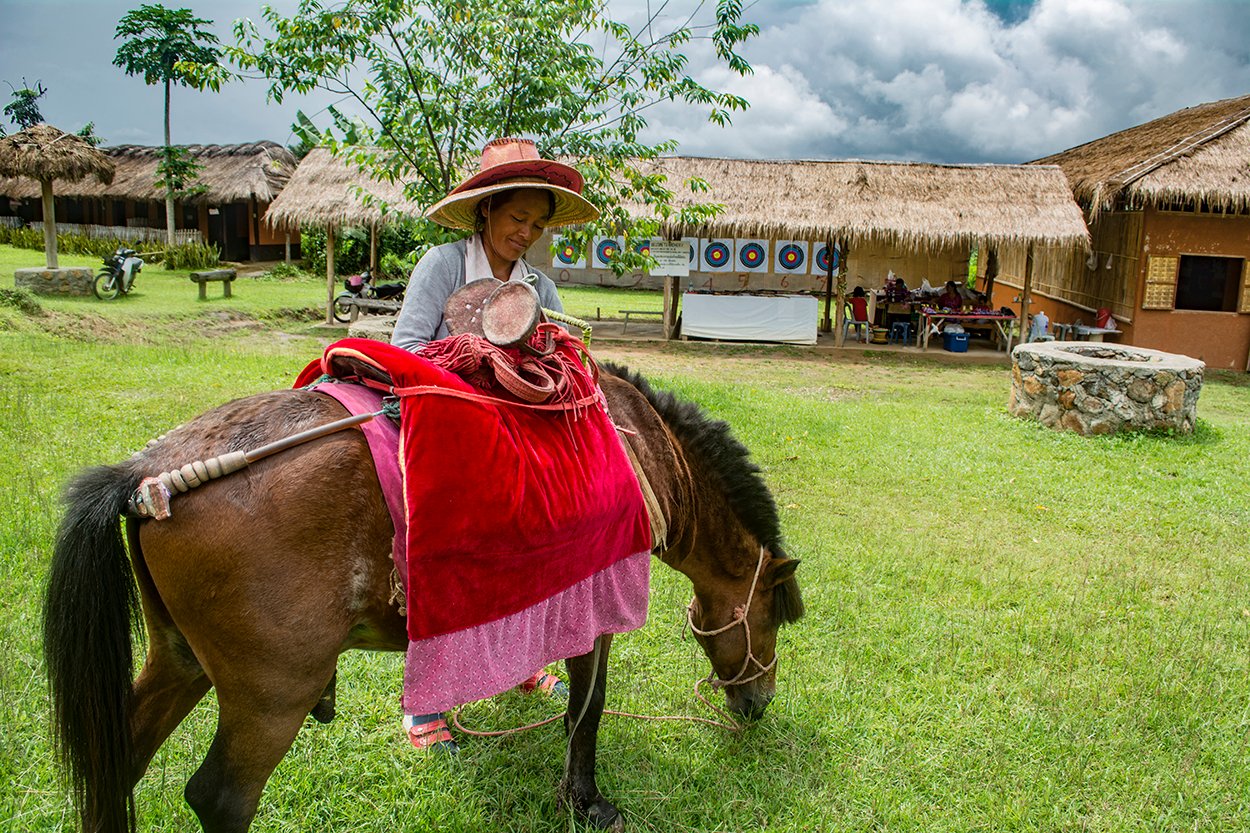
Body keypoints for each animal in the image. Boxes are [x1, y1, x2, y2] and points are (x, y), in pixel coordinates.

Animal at [44, 360, 805, 830]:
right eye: (772, 613)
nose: (759, 704)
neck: (639, 447)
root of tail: (149, 473)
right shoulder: (598, 613)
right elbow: (586, 713)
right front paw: (586, 802)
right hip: (273, 696)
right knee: (221, 799)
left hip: (179, 660)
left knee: (119, 758)